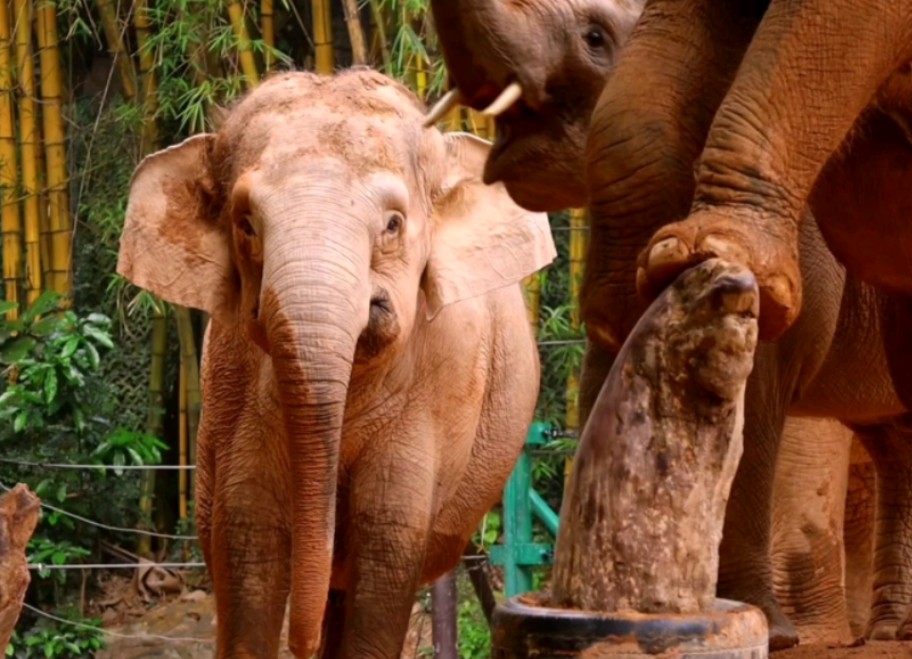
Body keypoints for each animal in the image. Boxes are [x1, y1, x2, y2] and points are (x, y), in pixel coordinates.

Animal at [117, 69, 560, 656]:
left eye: (393, 224)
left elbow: (386, 547)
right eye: (246, 224)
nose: (298, 644)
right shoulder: (236, 388)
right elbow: (247, 535)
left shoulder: (436, 394)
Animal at [426, 0, 912, 648]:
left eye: (594, 37)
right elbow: (608, 358)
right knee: (895, 439)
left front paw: (774, 632)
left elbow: (760, 391)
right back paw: (892, 631)